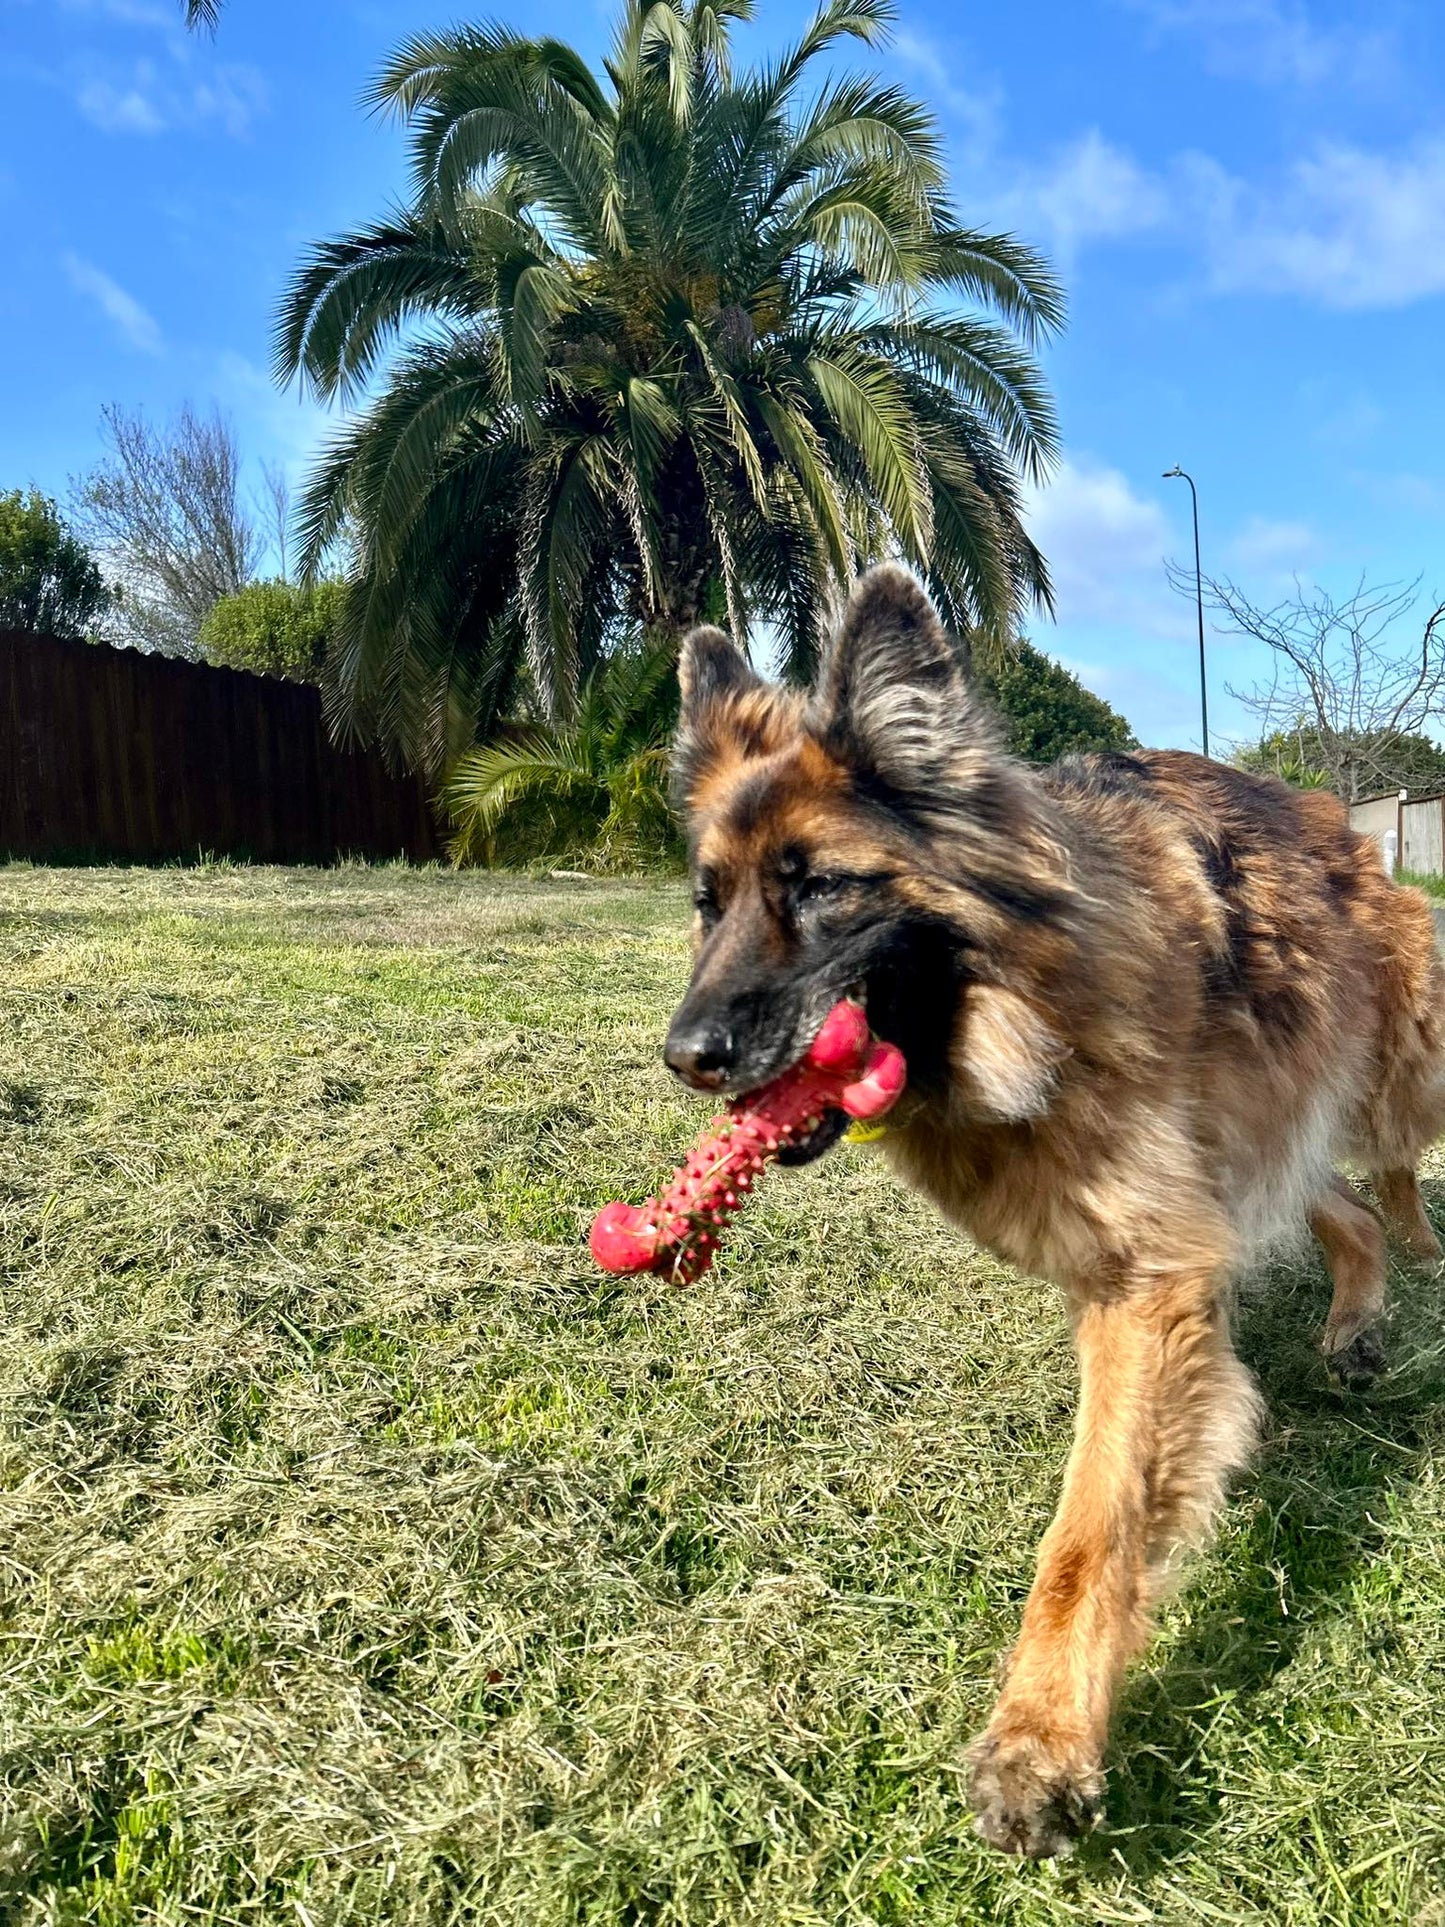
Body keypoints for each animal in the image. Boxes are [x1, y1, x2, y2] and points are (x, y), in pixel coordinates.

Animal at [666, 562, 1445, 1857]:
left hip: (1387, 1074)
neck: (1025, 1002)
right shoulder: (1163, 1234)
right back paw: (1353, 1322)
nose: (686, 1056)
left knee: (1390, 1172)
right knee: (1338, 1203)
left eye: (817, 886)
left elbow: (1087, 1532)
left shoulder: (1145, 1278)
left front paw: (1040, 1740)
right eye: (705, 900)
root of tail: (1348, 830)